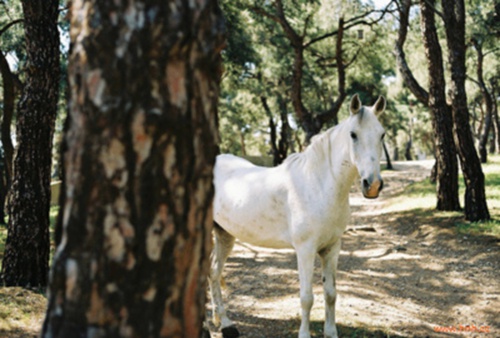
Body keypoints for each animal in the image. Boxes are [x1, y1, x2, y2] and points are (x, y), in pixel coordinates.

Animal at [207, 94, 386, 338]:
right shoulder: (305, 250)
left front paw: (331, 332)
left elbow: (331, 293)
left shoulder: (332, 248)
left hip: (225, 235)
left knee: (214, 273)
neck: (317, 184)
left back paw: (225, 324)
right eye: (353, 134)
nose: (373, 185)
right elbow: (306, 298)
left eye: (382, 134)